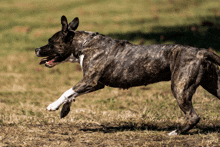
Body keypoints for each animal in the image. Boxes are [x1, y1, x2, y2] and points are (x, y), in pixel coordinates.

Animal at [34, 15, 220, 136]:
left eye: (50, 42)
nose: (36, 49)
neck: (83, 44)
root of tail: (201, 52)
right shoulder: (95, 83)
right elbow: (72, 94)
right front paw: (64, 109)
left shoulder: (90, 80)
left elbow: (68, 91)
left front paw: (53, 105)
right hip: (212, 84)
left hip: (180, 88)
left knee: (193, 116)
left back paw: (176, 132)